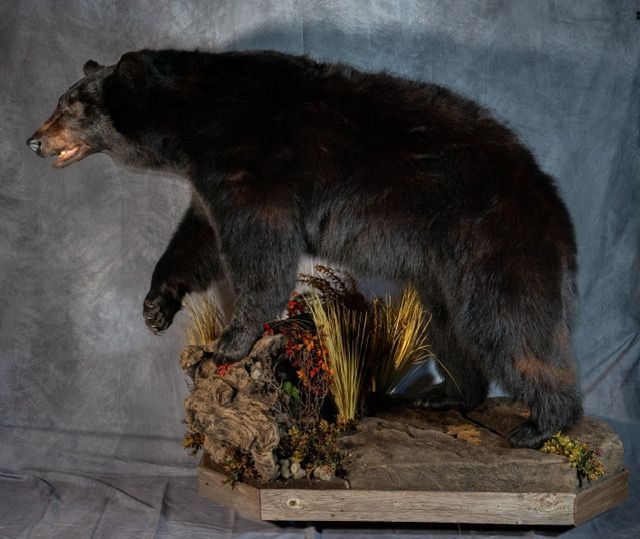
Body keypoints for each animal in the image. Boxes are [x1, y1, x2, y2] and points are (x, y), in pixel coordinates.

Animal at [27, 49, 582, 448]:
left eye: (71, 107)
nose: (34, 140)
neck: (194, 115)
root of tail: (550, 196)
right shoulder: (211, 180)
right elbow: (198, 238)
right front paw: (156, 304)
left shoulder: (250, 165)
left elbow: (259, 247)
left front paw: (231, 341)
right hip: (445, 271)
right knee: (452, 327)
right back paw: (449, 395)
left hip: (493, 244)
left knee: (516, 327)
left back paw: (545, 424)